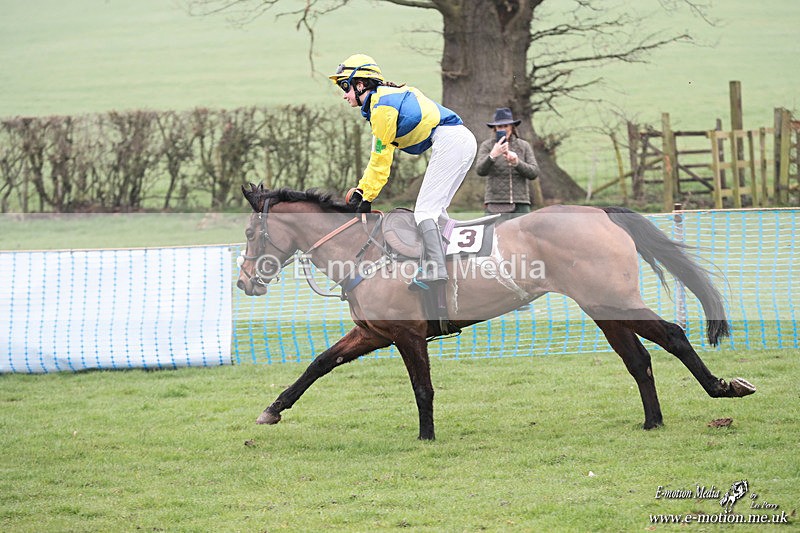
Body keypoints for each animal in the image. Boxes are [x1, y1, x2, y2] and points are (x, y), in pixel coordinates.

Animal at [236, 184, 755, 440]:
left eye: (250, 232)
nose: (244, 282)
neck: (362, 252)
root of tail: (598, 213)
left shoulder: (406, 334)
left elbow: (422, 387)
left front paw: (426, 437)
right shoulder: (373, 332)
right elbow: (319, 363)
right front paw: (272, 410)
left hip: (613, 300)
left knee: (673, 335)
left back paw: (722, 387)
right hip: (602, 308)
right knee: (639, 359)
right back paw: (653, 422)